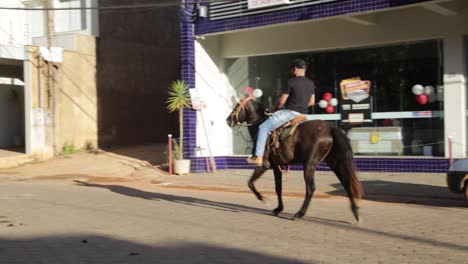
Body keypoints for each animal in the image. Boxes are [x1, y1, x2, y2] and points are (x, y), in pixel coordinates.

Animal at [226, 96, 362, 221]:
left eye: (237, 105)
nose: (228, 119)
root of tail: (329, 129)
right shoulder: (277, 167)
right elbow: (278, 188)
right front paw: (278, 208)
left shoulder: (265, 165)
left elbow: (250, 183)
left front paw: (262, 198)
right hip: (334, 163)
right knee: (346, 183)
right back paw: (355, 212)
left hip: (309, 165)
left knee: (310, 188)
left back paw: (299, 213)